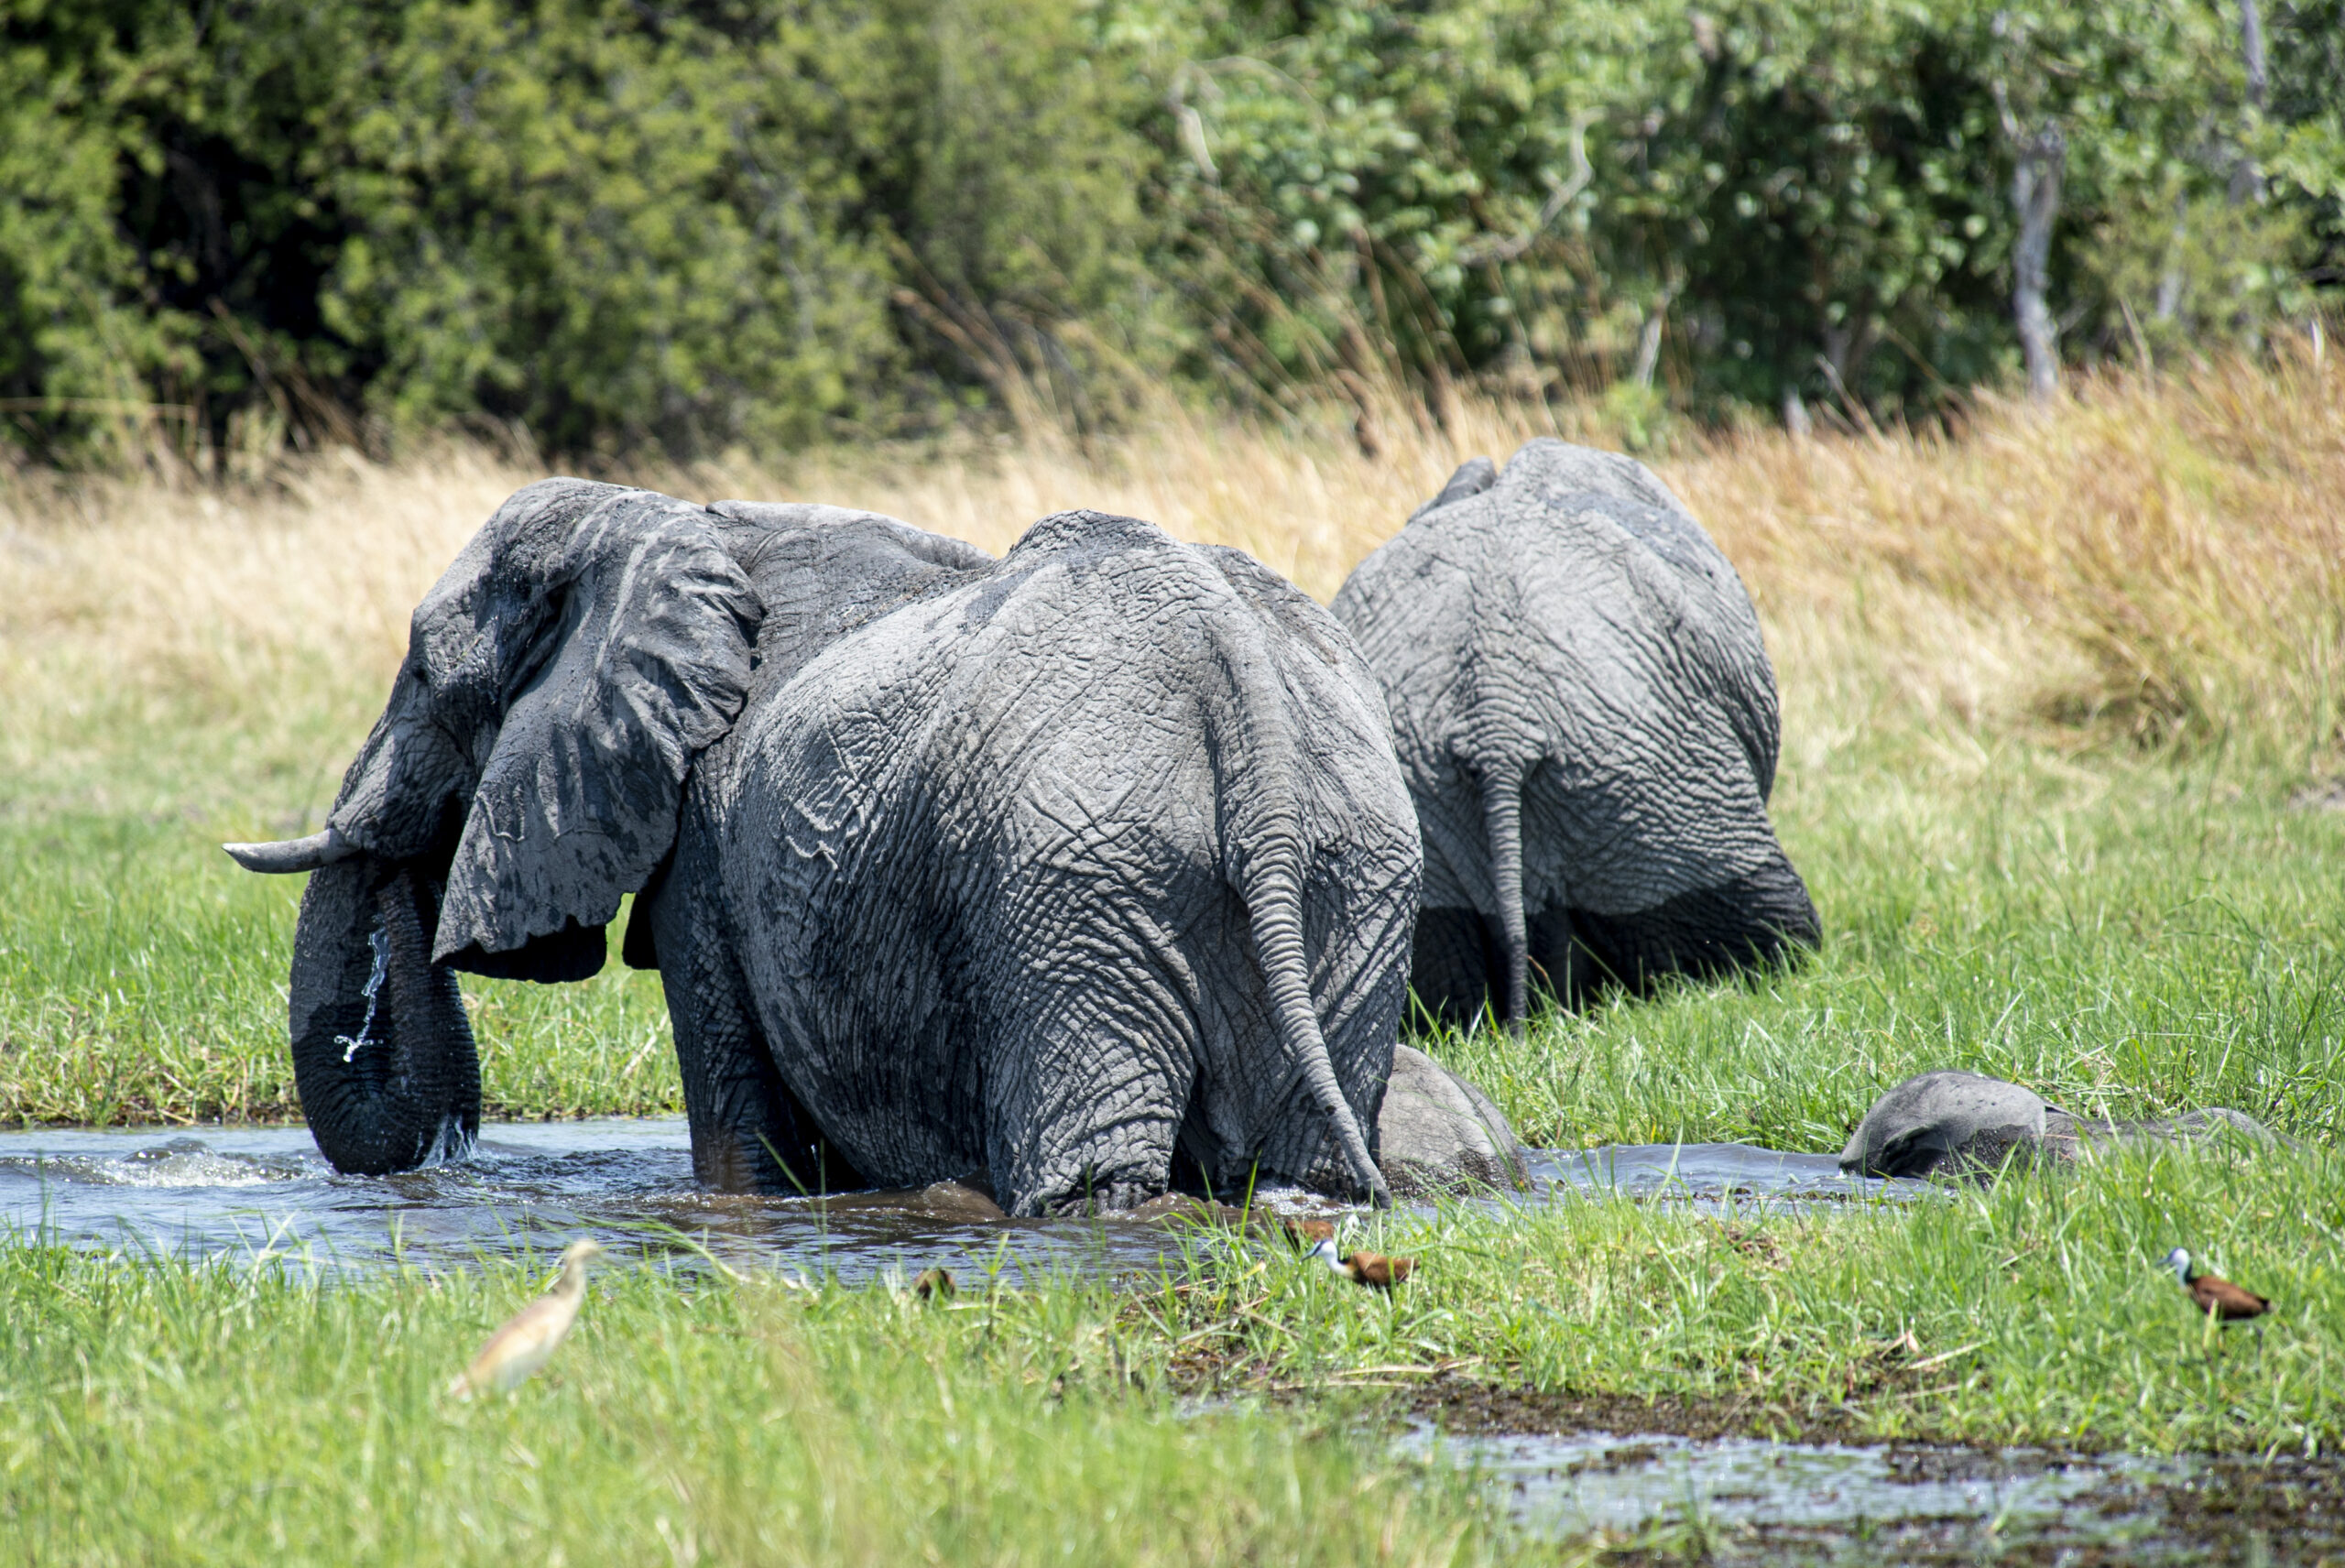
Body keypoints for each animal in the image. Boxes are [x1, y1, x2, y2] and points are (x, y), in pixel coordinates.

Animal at [233, 483, 1425, 1218]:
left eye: (426, 676)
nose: (405, 870)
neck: (664, 525)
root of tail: (1229, 664)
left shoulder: (707, 849)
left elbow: (741, 1132)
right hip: (1356, 868)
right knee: (1304, 1147)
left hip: (1070, 880)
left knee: (1097, 1175)